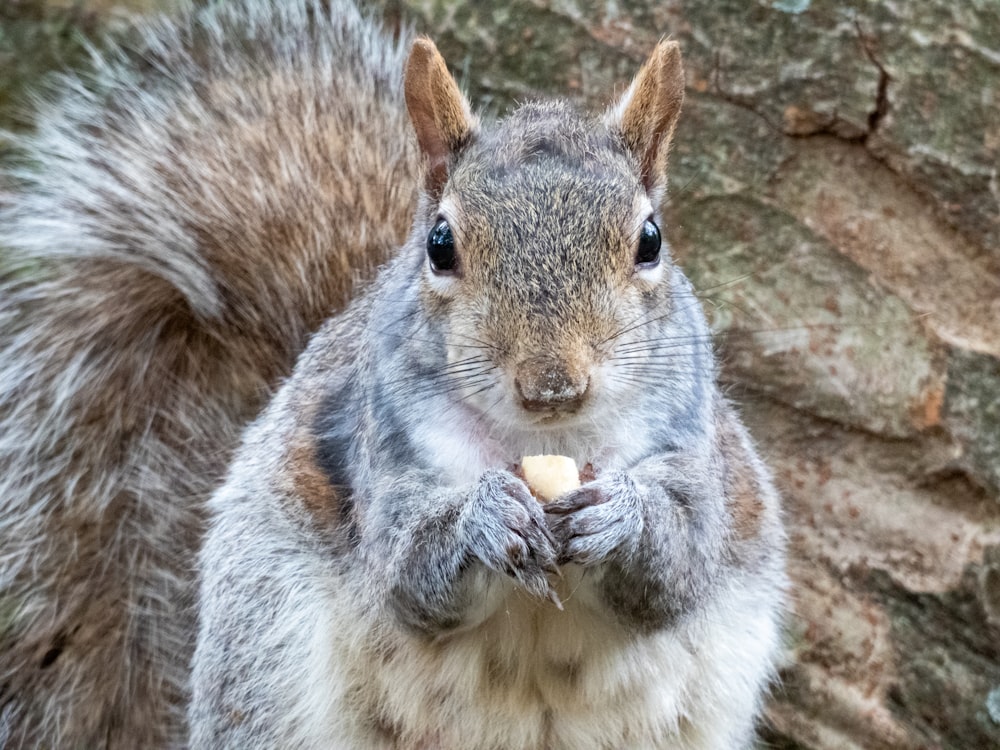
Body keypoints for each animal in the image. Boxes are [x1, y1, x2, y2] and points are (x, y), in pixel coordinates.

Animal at [0, 1, 784, 750]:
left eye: (650, 240)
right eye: (440, 245)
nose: (552, 384)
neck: (539, 444)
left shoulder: (693, 455)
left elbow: (678, 562)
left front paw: (621, 513)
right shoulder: (386, 461)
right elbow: (410, 569)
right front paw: (482, 518)